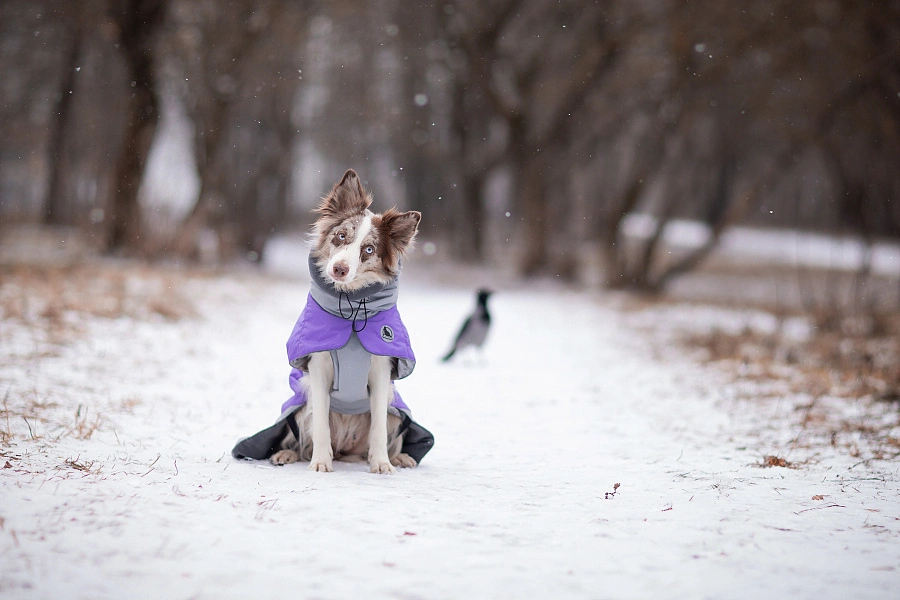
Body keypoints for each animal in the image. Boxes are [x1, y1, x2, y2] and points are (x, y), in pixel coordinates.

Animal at [268, 170, 422, 474]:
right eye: (341, 236)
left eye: (369, 249)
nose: (339, 269)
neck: (351, 308)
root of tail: (346, 450)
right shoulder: (317, 368)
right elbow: (320, 424)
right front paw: (320, 461)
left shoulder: (381, 372)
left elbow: (378, 426)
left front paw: (382, 463)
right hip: (300, 406)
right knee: (299, 439)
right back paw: (286, 454)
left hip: (396, 413)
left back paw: (399, 457)